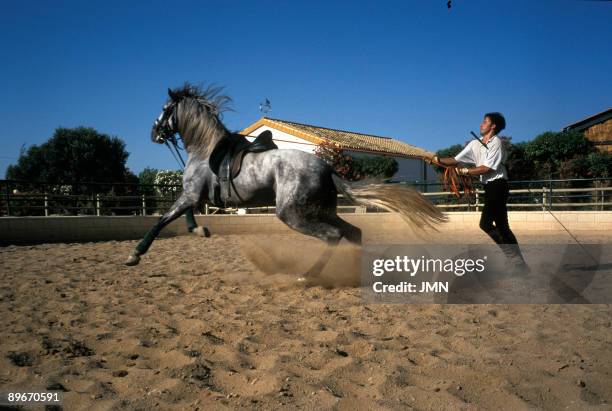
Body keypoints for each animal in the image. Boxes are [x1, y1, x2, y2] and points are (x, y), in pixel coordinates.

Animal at [124, 83, 448, 284]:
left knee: (333, 236)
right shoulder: (195, 197)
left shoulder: (191, 195)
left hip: (292, 214)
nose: (154, 133)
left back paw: (307, 275)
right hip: (320, 210)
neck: (206, 149)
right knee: (353, 233)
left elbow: (163, 220)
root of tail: (326, 168)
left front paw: (134, 255)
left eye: (165, 109)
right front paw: (200, 230)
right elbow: (183, 216)